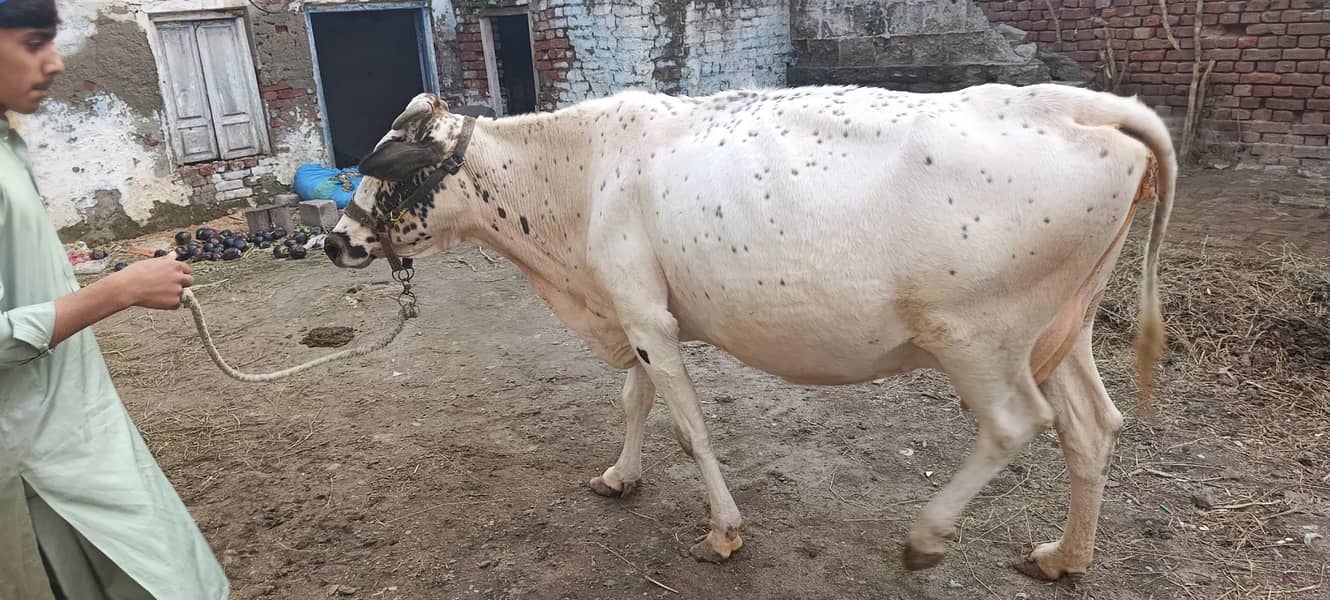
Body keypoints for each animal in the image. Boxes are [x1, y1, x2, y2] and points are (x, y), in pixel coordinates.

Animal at [323, 82, 1175, 581]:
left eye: (386, 166)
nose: (333, 240)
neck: (575, 172)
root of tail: (1079, 103)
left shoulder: (644, 315)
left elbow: (690, 428)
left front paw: (724, 531)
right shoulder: (636, 303)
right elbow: (634, 402)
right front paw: (621, 476)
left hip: (975, 335)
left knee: (1014, 423)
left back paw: (927, 535)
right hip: (1057, 331)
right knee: (1092, 426)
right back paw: (1064, 557)